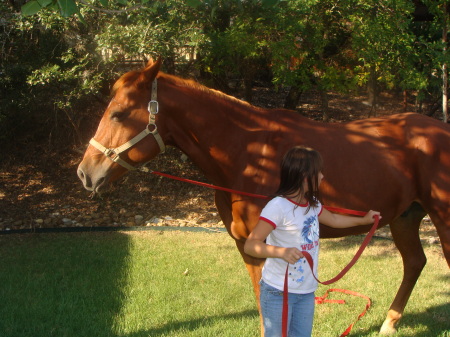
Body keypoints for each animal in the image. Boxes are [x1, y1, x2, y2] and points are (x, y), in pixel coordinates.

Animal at [77, 59, 450, 334]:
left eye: (119, 114)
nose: (85, 173)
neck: (249, 152)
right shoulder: (248, 246)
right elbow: (264, 305)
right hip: (404, 217)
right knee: (415, 263)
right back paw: (389, 324)